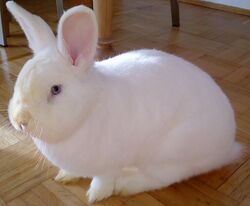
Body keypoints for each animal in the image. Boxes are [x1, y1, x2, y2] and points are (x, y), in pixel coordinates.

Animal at [7, 1, 242, 203]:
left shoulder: (109, 165)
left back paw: (127, 184)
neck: (88, 109)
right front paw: (66, 176)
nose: (20, 121)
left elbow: (103, 180)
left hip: (170, 152)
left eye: (55, 89)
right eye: (20, 80)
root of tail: (228, 145)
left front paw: (95, 195)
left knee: (164, 177)